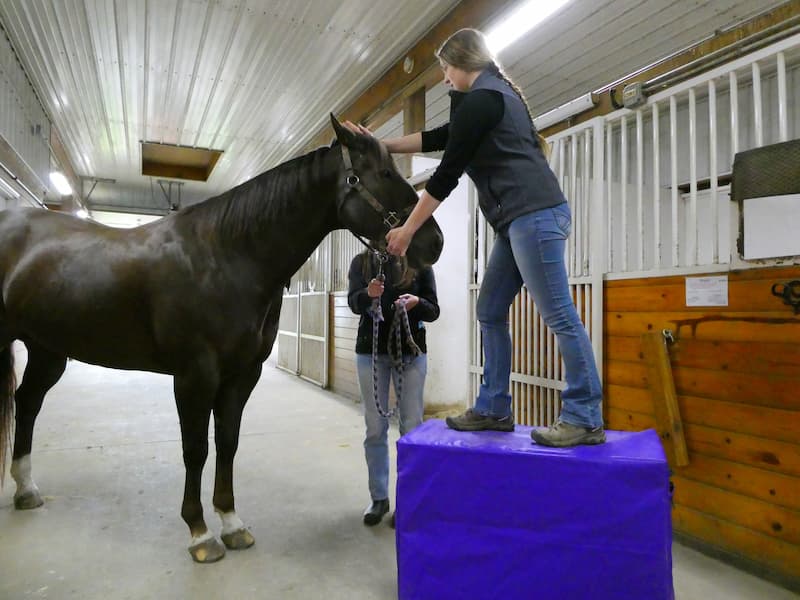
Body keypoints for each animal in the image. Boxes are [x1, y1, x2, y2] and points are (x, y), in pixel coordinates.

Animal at [0, 115, 443, 563]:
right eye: (384, 173)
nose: (434, 242)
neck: (225, 258)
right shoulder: (194, 376)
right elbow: (195, 449)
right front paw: (199, 533)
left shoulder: (241, 375)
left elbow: (227, 442)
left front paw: (231, 523)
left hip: (48, 350)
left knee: (28, 403)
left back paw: (26, 489)